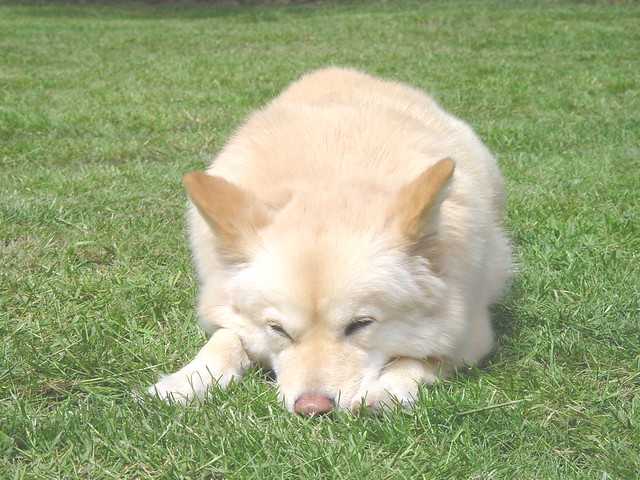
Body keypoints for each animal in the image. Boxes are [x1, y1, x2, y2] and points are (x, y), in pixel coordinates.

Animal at [148, 65, 512, 414]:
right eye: (278, 330)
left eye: (360, 325)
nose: (312, 408)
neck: (327, 180)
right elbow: (225, 337)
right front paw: (186, 383)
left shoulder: (471, 334)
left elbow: (419, 357)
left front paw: (385, 389)